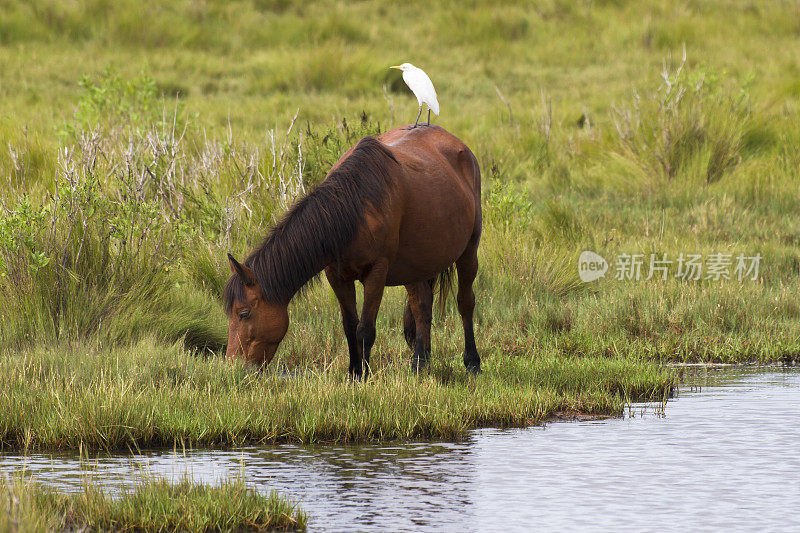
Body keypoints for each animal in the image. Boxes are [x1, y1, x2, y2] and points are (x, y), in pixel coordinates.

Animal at [225, 123, 484, 378]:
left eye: (243, 313)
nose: (234, 367)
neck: (355, 210)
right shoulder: (337, 276)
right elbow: (350, 326)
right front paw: (354, 372)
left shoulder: (377, 272)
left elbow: (366, 328)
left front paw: (364, 375)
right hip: (416, 265)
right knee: (421, 306)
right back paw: (420, 363)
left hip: (469, 251)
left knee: (465, 303)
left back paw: (472, 362)